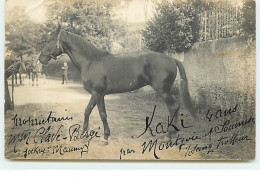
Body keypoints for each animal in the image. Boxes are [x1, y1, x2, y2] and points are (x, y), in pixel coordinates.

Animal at [39, 24, 197, 143]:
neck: (90, 62)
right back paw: (172, 134)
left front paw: (105, 137)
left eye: (49, 40)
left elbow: (102, 114)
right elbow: (87, 111)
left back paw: (168, 135)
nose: (40, 58)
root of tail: (172, 59)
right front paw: (84, 133)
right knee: (174, 107)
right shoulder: (95, 94)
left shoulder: (98, 93)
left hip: (163, 91)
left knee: (174, 106)